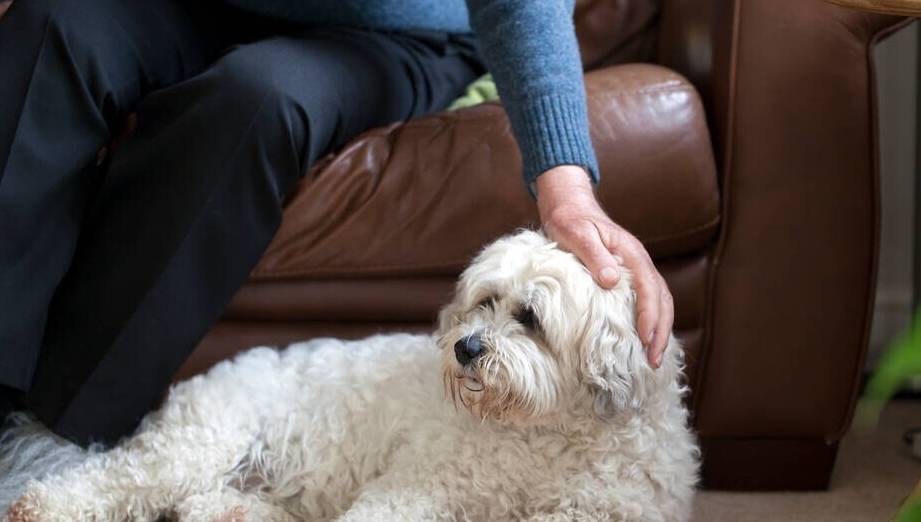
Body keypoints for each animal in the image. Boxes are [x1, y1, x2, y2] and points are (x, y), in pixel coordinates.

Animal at [5, 230, 696, 516]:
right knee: (114, 480)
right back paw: (36, 505)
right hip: (196, 446)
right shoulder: (419, 485)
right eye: (485, 301)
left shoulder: (611, 510)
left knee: (201, 506)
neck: (541, 433)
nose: (466, 347)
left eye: (529, 316)